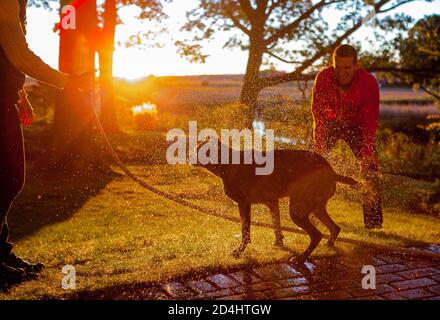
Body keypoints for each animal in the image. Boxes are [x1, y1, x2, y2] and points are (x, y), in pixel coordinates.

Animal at [192, 136, 358, 264]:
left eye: (200, 150)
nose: (190, 157)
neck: (228, 163)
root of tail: (331, 171)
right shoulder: (272, 202)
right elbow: (277, 227)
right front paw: (279, 245)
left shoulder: (244, 204)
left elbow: (245, 231)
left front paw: (239, 252)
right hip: (315, 207)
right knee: (335, 228)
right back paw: (328, 246)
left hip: (298, 210)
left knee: (317, 234)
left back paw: (301, 258)